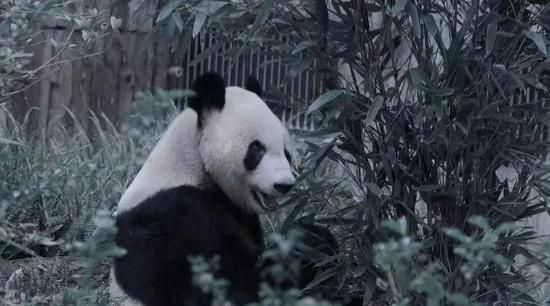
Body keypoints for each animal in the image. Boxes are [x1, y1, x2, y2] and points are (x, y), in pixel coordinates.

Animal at [110, 73, 300, 304]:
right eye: (256, 149)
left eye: (286, 152)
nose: (284, 185)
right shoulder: (171, 217)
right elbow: (227, 283)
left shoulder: (240, 214)